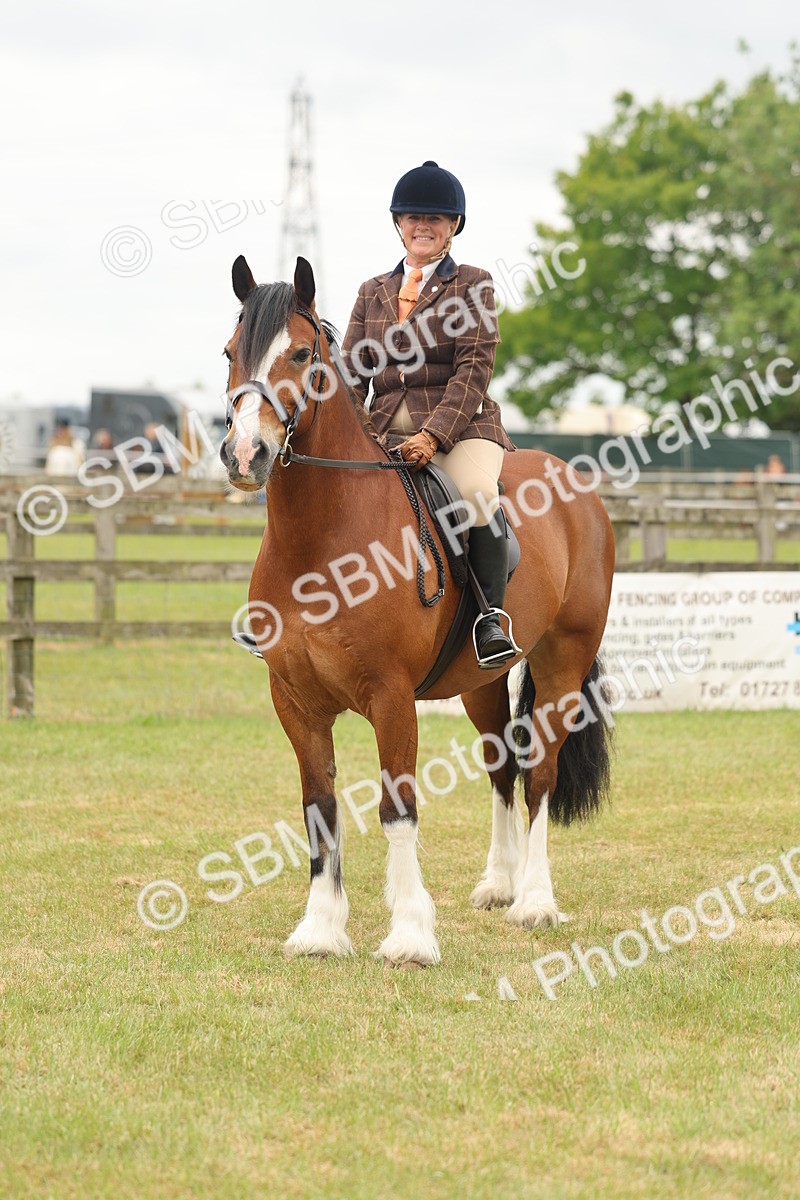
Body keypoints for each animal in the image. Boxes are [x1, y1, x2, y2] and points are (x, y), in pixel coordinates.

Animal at [219, 255, 615, 967]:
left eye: (301, 354)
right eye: (231, 353)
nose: (245, 455)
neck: (322, 537)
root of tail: (575, 483)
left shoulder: (391, 696)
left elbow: (396, 807)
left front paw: (408, 936)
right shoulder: (294, 700)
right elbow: (318, 807)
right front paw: (320, 930)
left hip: (564, 666)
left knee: (539, 774)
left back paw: (535, 902)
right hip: (482, 679)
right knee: (501, 765)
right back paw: (498, 885)